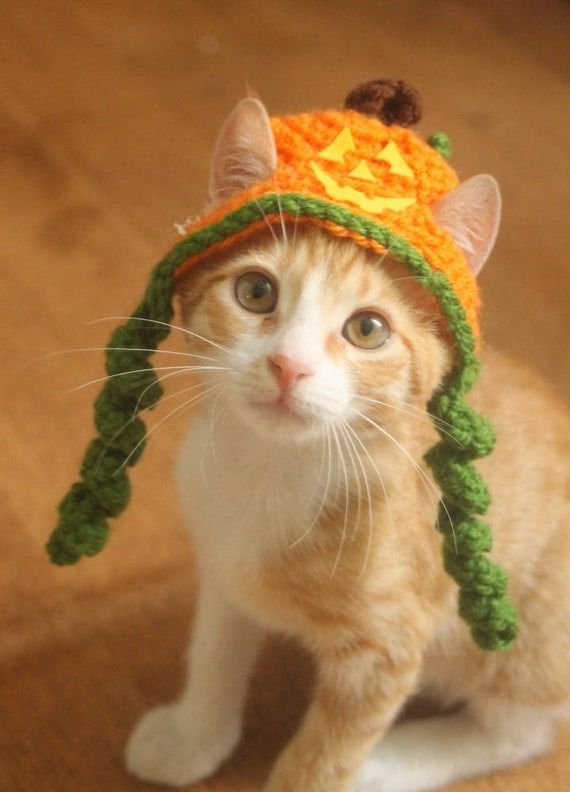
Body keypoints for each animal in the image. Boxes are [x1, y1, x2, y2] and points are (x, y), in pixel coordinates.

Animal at [125, 99, 568, 792]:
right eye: (256, 292)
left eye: (368, 329)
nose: (289, 366)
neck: (273, 470)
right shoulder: (224, 564)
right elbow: (214, 648)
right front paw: (194, 735)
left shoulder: (387, 646)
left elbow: (324, 758)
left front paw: (334, 767)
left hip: (532, 636)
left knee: (519, 730)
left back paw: (389, 763)